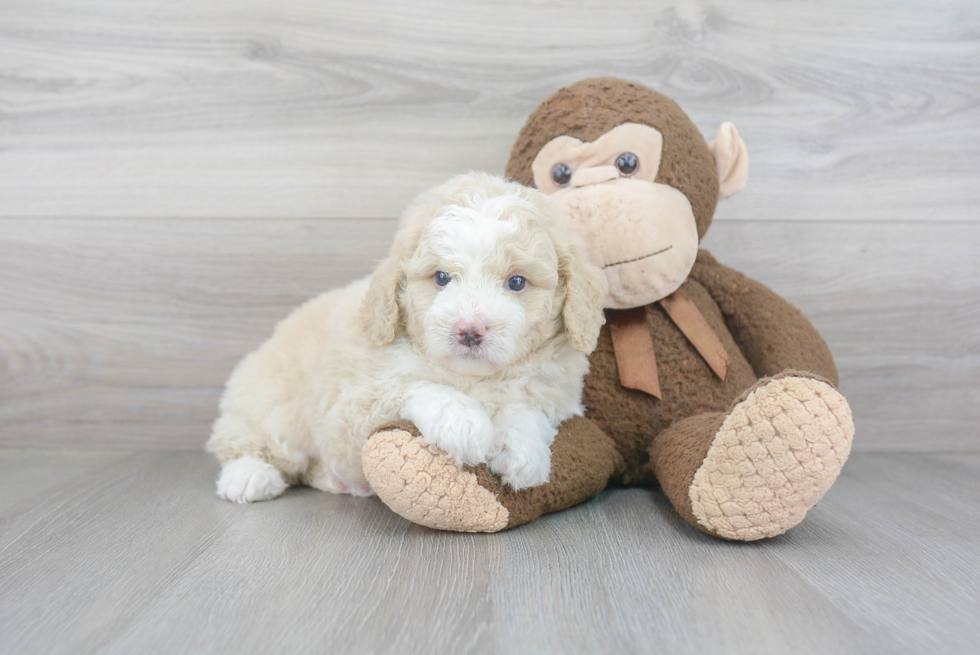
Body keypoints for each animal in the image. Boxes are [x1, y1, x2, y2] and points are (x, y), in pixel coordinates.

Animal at [207, 172, 604, 504]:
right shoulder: (348, 408)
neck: (473, 379)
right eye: (441, 277)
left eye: (517, 282)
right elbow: (414, 385)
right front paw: (463, 421)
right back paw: (248, 476)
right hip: (271, 405)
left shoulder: (554, 393)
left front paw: (522, 449)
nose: (469, 329)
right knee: (245, 440)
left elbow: (527, 408)